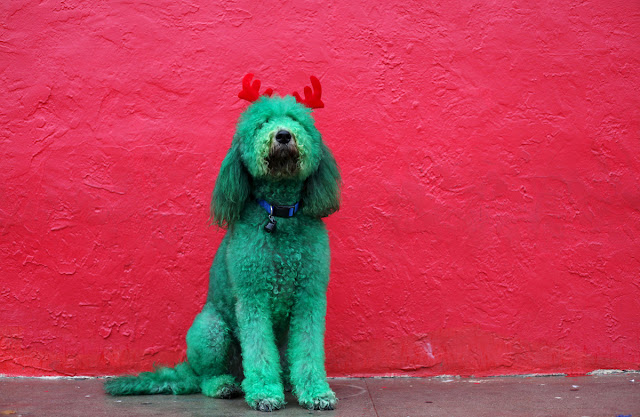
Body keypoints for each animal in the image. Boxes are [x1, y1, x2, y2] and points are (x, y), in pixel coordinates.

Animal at [106, 74, 340, 410]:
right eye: (262, 123)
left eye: (297, 121)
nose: (283, 135)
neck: (279, 213)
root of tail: (186, 369)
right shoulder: (253, 297)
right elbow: (259, 350)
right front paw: (264, 393)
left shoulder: (310, 296)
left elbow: (308, 350)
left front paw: (316, 392)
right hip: (211, 329)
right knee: (208, 377)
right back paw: (226, 385)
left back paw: (284, 383)